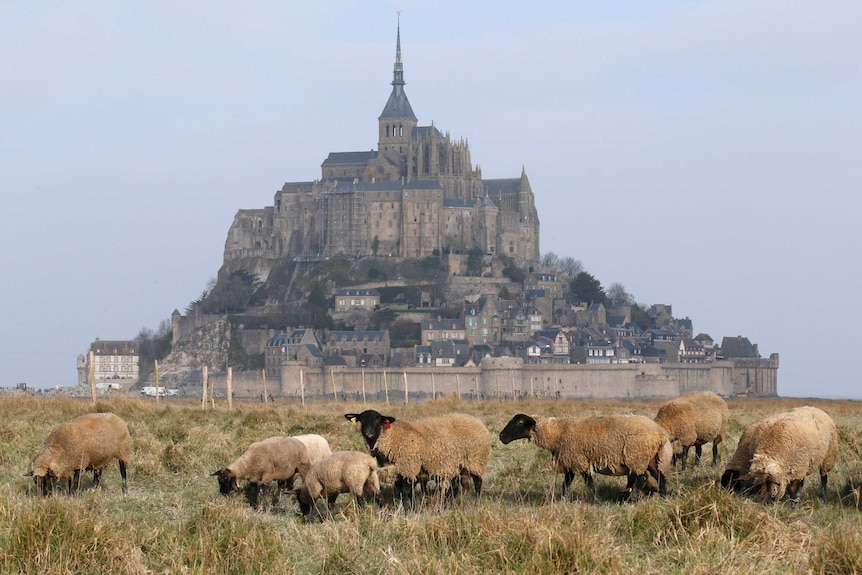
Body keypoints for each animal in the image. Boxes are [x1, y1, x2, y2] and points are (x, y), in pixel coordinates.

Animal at [344, 410, 492, 508]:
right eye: (361, 419)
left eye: (377, 419)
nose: (368, 432)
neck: (393, 437)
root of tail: (477, 421)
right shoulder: (398, 471)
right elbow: (403, 492)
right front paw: (409, 507)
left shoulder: (409, 467)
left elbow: (406, 491)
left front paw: (409, 510)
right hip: (460, 466)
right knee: (462, 485)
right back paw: (456, 503)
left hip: (475, 461)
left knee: (478, 483)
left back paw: (476, 504)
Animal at [500, 414, 676, 504]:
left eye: (520, 421)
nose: (501, 436)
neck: (557, 434)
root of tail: (660, 433)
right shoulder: (570, 462)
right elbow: (566, 484)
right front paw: (561, 501)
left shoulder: (579, 461)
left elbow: (589, 484)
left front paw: (597, 501)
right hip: (652, 458)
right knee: (661, 477)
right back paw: (665, 499)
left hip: (637, 457)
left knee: (642, 478)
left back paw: (631, 500)